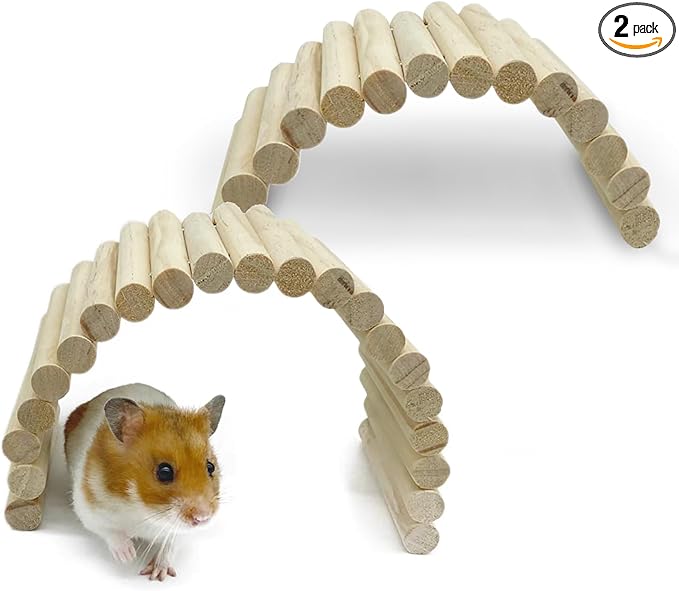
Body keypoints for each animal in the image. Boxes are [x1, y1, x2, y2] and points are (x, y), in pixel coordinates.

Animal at [64, 383, 225, 581]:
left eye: (210, 467)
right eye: (164, 472)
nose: (203, 518)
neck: (145, 510)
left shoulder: (180, 532)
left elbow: (170, 545)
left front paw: (157, 575)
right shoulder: (89, 509)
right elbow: (111, 532)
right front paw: (128, 558)